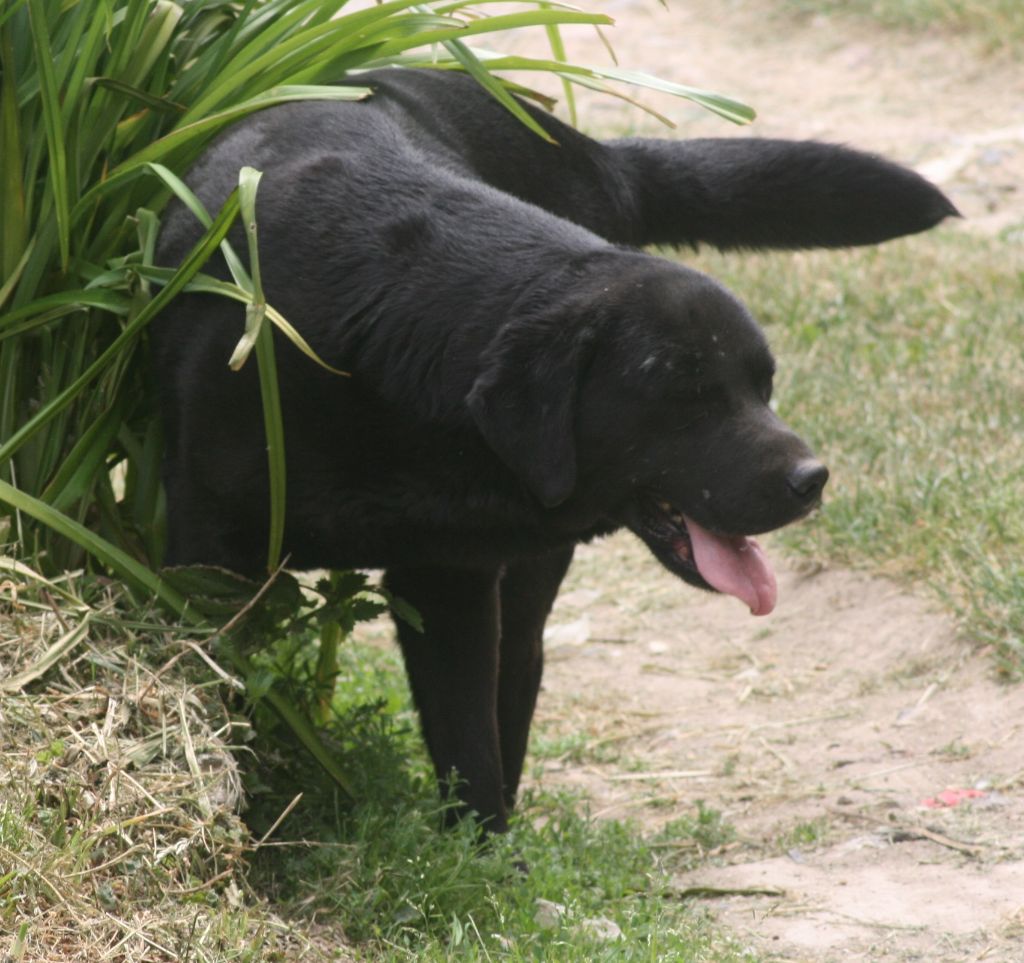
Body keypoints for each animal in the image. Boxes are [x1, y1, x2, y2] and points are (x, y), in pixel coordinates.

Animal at [153, 69, 958, 835]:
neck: (384, 335)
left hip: (531, 570)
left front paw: (480, 861)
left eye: (764, 386)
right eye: (685, 394)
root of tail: (597, 154)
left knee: (517, 677)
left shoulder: (449, 578)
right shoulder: (206, 554)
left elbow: (470, 745)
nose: (811, 479)